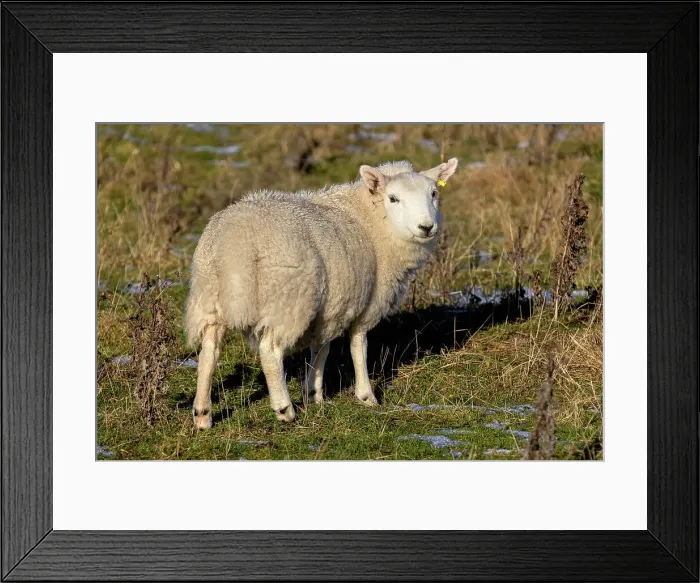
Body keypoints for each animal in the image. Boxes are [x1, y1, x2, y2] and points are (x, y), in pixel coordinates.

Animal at [185, 157, 459, 428]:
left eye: (434, 193)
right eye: (393, 198)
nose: (426, 226)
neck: (372, 219)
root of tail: (236, 244)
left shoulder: (331, 306)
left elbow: (321, 348)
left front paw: (313, 393)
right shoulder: (359, 302)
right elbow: (357, 345)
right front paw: (365, 395)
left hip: (209, 297)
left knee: (209, 352)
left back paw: (202, 414)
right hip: (289, 299)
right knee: (270, 351)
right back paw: (284, 409)